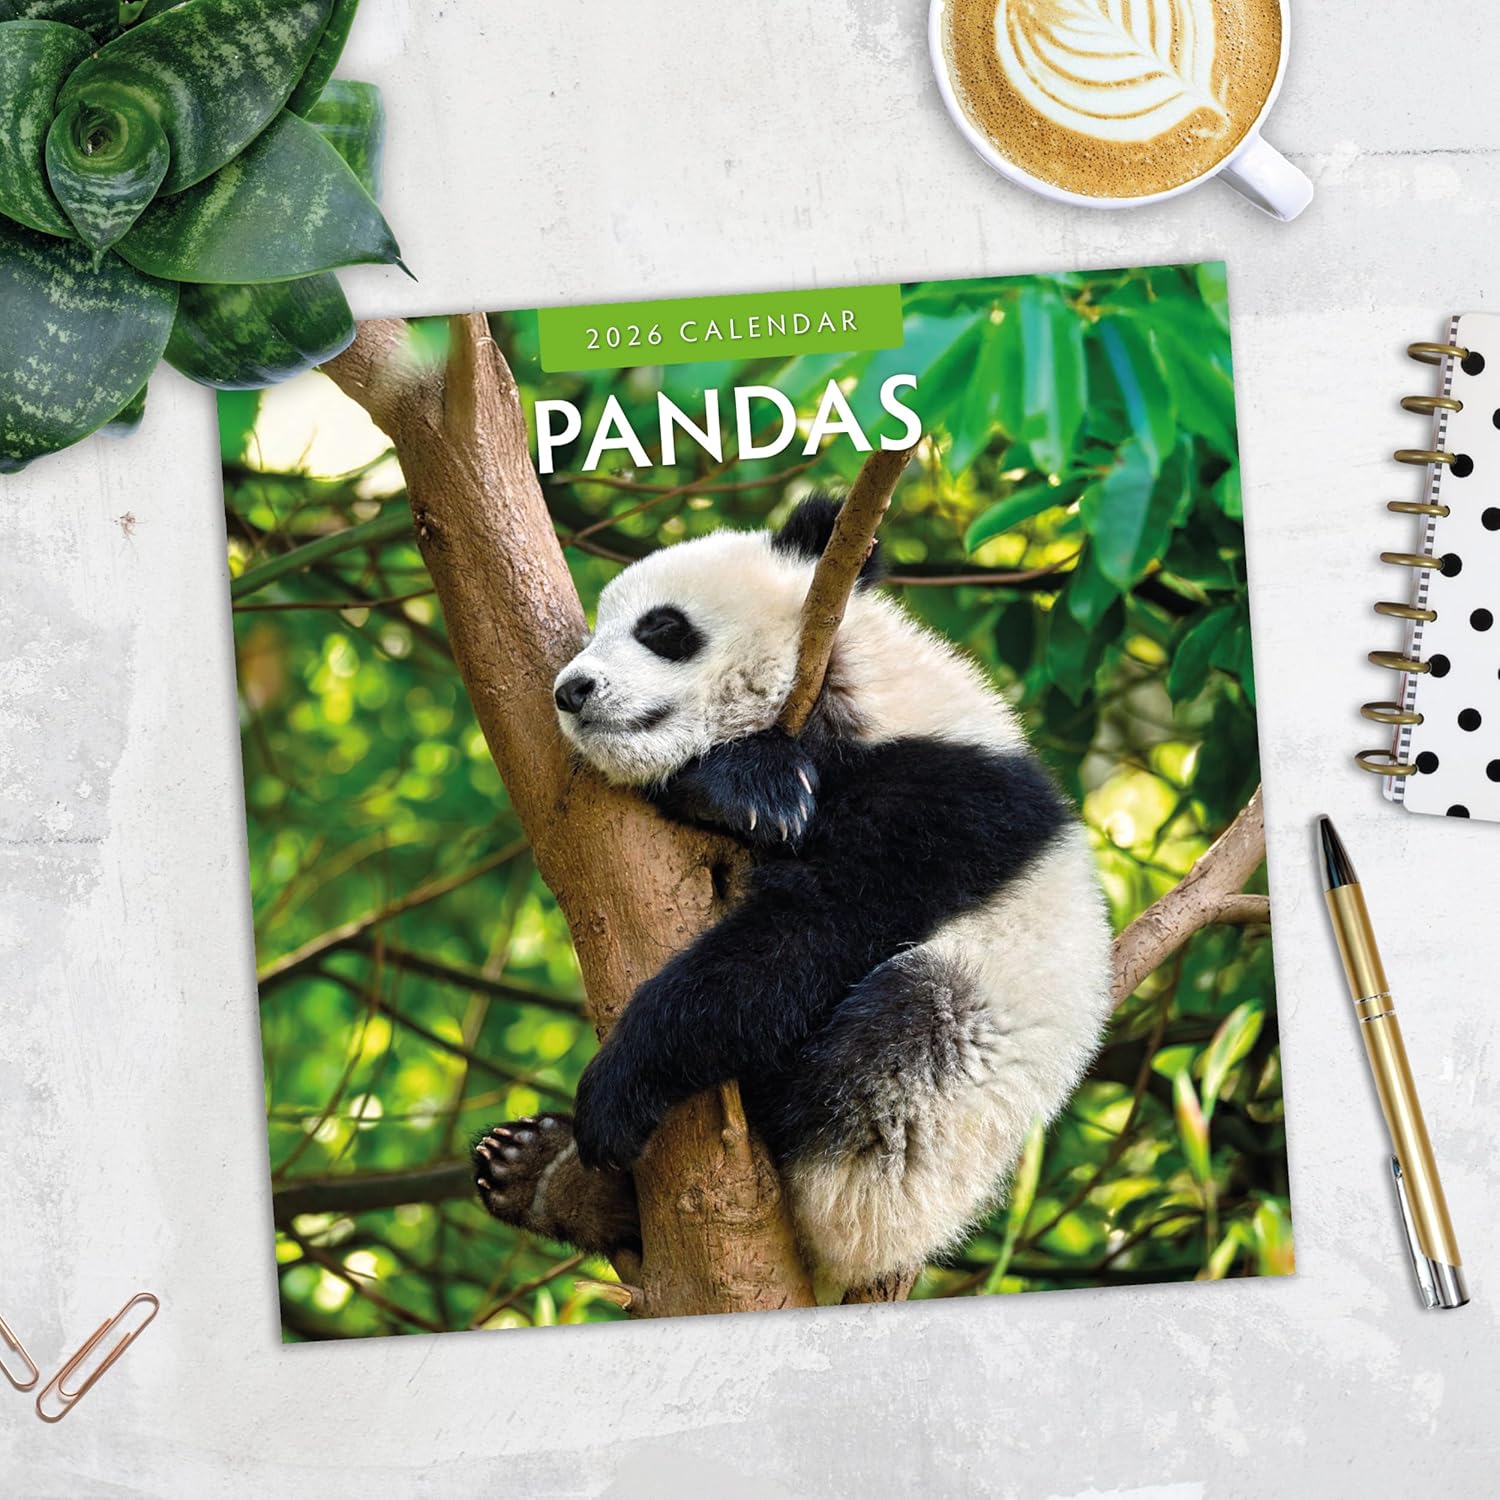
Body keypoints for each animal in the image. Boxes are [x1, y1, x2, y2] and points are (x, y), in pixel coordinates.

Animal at [473, 497, 1114, 1298]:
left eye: (662, 629)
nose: (571, 690)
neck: (848, 683)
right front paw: (745, 790)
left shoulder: (944, 797)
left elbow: (815, 929)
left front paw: (619, 1084)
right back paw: (539, 1174)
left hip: (944, 1106)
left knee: (900, 1035)